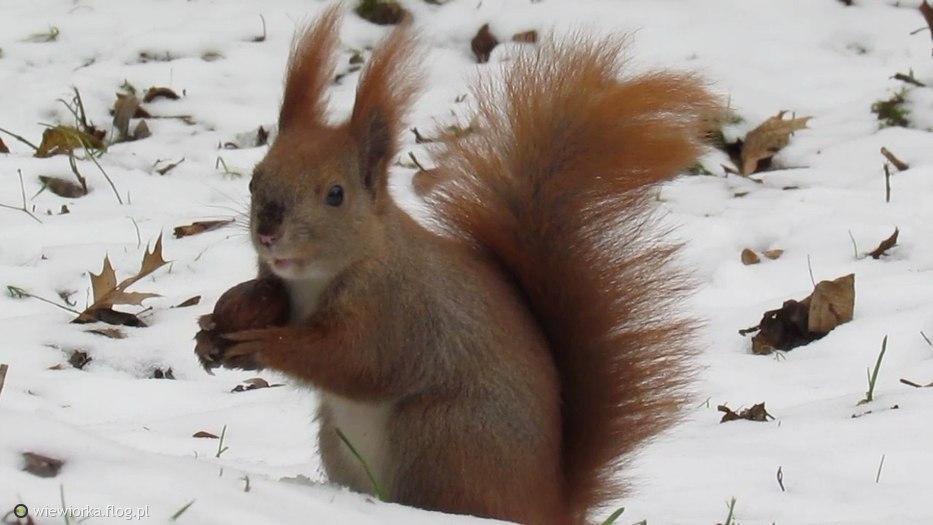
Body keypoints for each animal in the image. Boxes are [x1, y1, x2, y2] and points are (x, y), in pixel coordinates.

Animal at [195, 5, 720, 524]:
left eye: (336, 195)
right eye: (254, 180)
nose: (268, 231)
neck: (318, 277)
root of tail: (548, 505)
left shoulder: (394, 311)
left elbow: (355, 361)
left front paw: (263, 344)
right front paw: (207, 334)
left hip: (439, 435)